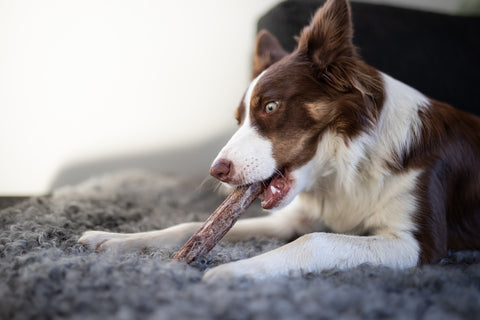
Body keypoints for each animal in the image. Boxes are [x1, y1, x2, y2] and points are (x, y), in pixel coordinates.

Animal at [77, 0, 478, 280]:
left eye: (270, 106)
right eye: (239, 119)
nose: (217, 171)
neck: (349, 167)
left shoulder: (418, 244)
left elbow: (316, 240)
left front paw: (234, 270)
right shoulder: (294, 218)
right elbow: (192, 225)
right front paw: (113, 239)